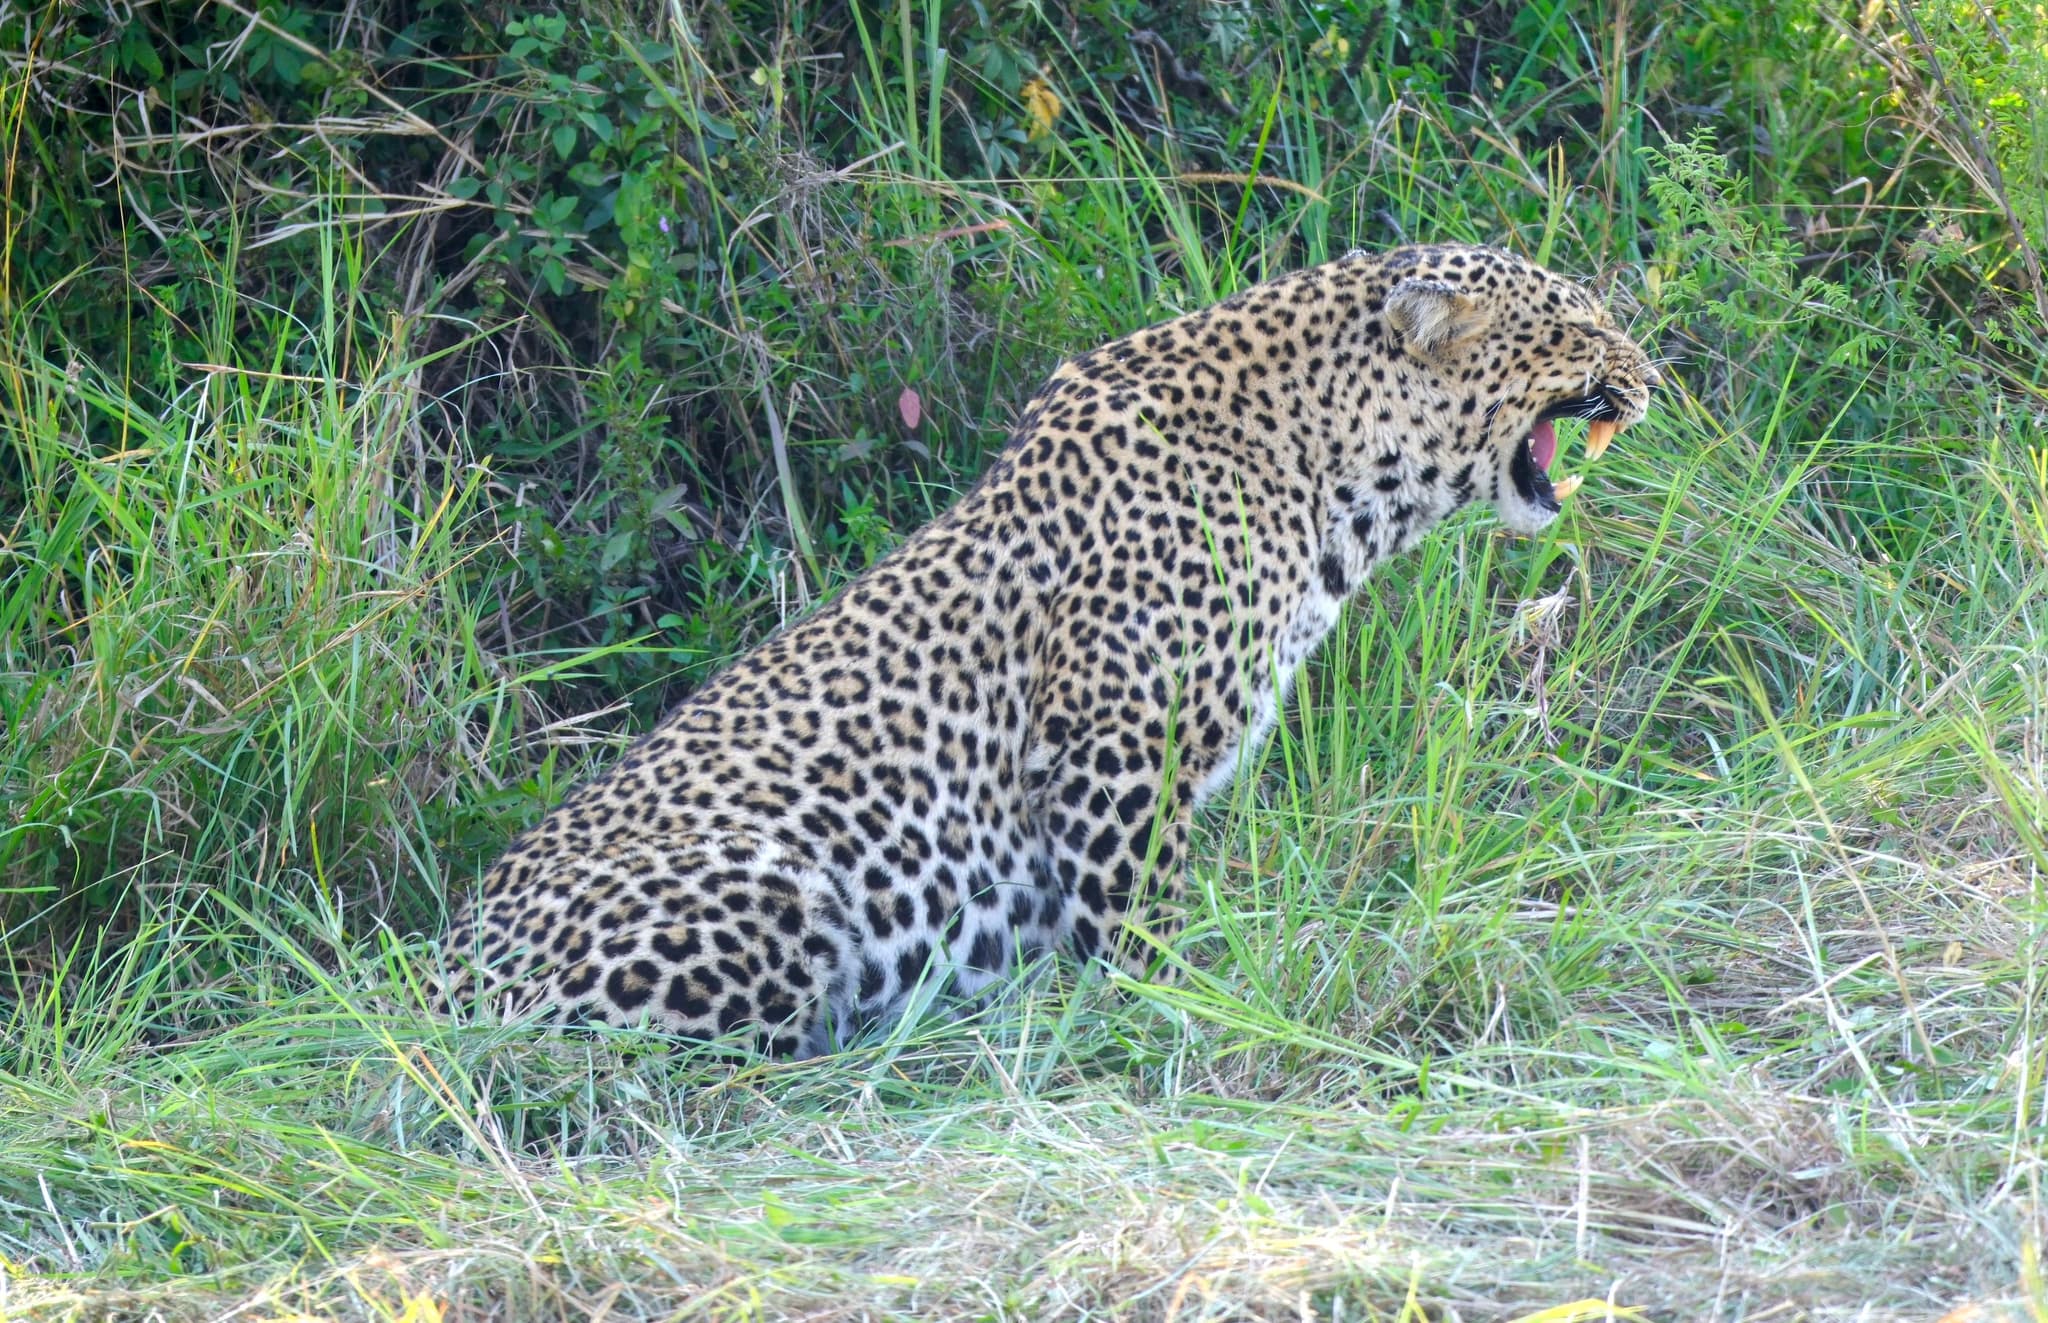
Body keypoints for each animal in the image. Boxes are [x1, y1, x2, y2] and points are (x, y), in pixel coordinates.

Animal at [442, 242, 1660, 1056]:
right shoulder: (1115, 742)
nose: (1653, 376)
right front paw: (1171, 1005)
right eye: (1579, 325)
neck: (1340, 477)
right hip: (768, 890)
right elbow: (1135, 913)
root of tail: (437, 978)